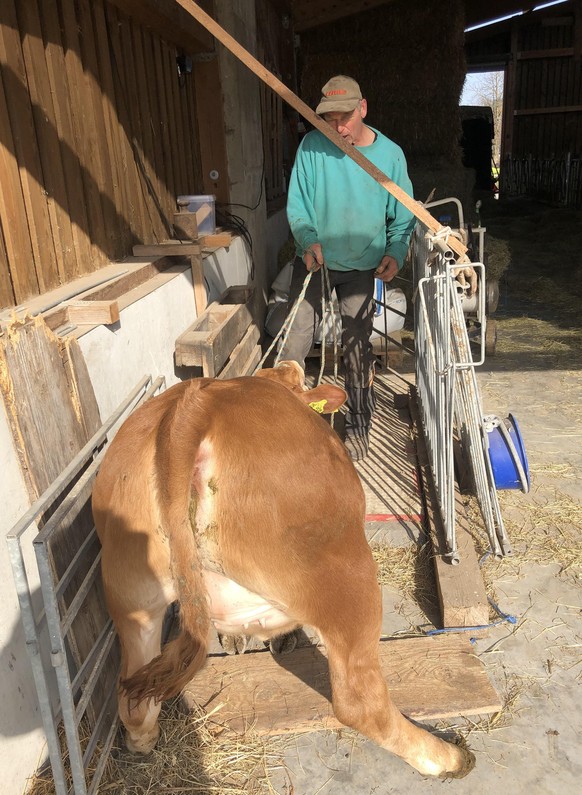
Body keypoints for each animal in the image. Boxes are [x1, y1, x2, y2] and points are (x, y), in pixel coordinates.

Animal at [91, 364, 474, 780]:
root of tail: (197, 405)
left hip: (131, 597)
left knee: (132, 701)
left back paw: (143, 740)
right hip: (345, 575)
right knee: (360, 702)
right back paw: (448, 757)